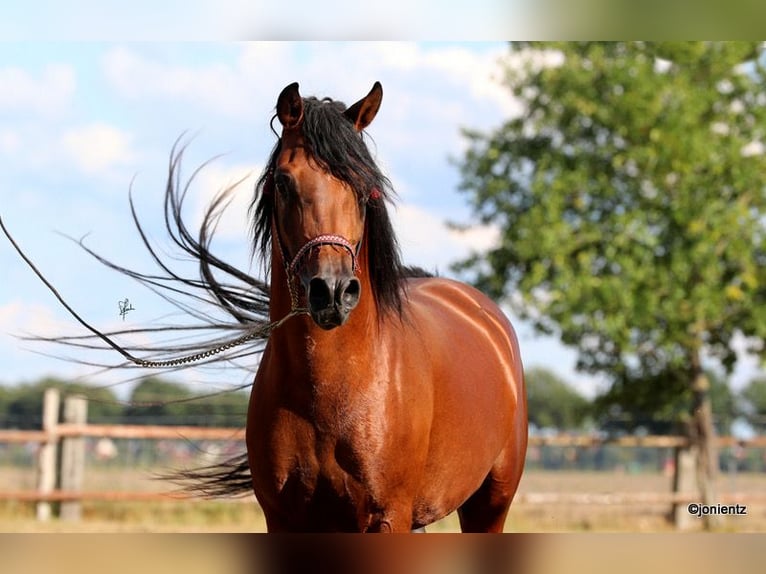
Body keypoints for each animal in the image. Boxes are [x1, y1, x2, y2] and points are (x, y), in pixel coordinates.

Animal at [243, 81, 527, 532]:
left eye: (364, 189)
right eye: (284, 182)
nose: (332, 290)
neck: (329, 391)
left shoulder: (387, 515)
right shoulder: (283, 519)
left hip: (490, 505)